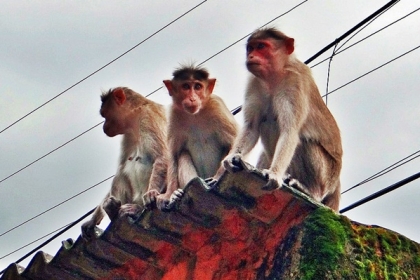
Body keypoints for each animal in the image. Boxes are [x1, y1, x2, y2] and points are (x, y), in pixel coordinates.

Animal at [81, 86, 168, 240]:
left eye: (105, 115)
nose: (104, 126)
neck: (135, 117)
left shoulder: (149, 117)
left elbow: (163, 156)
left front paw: (152, 193)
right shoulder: (127, 135)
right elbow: (121, 167)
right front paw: (92, 220)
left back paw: (136, 210)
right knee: (120, 174)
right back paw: (113, 211)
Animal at [158, 64, 238, 209]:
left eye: (197, 86)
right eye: (185, 86)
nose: (192, 98)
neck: (194, 115)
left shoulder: (217, 105)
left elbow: (235, 140)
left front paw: (218, 177)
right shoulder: (173, 114)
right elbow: (174, 155)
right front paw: (170, 195)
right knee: (183, 154)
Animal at [212, 28, 342, 211]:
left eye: (261, 46)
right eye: (250, 48)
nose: (250, 56)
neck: (274, 76)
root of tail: (336, 184)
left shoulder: (295, 83)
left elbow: (290, 131)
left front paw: (274, 174)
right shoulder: (254, 82)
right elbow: (252, 127)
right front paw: (230, 160)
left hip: (327, 175)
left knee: (301, 140)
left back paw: (311, 191)